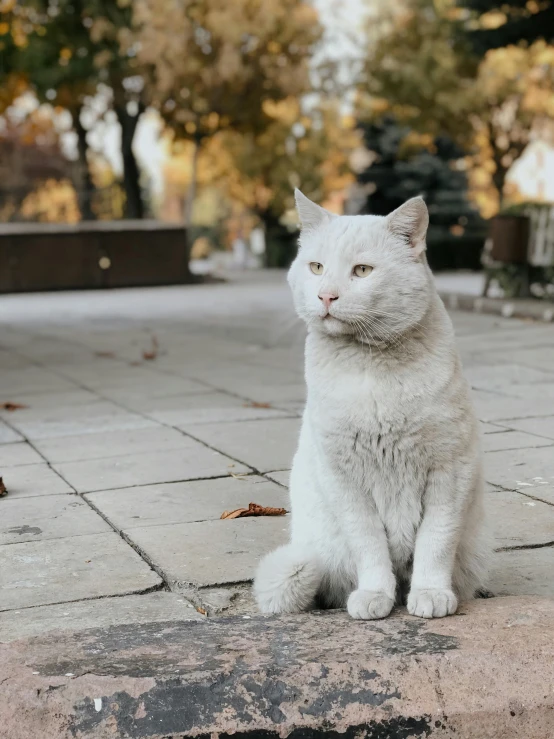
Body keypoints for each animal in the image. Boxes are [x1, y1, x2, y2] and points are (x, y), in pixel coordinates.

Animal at [252, 189, 486, 620]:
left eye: (362, 271)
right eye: (316, 267)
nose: (326, 295)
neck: (372, 366)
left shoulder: (450, 472)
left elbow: (436, 542)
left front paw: (430, 592)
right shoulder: (345, 480)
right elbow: (370, 546)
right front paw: (375, 595)